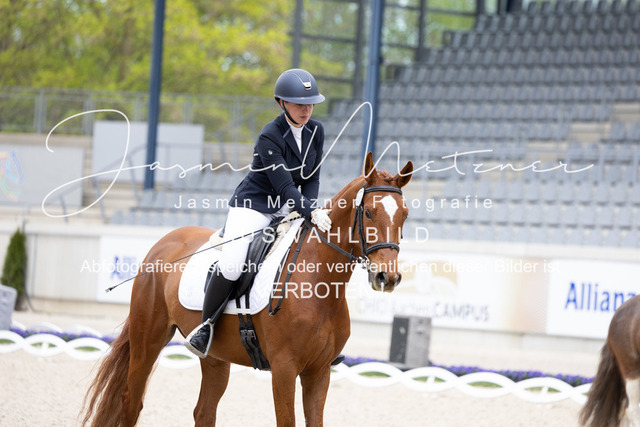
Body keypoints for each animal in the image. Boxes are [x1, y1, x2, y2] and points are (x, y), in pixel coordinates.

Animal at [81, 152, 413, 426]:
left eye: (405, 215)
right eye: (368, 213)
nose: (388, 277)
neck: (319, 283)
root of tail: (163, 243)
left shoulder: (319, 371)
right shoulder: (284, 368)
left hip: (215, 357)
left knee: (204, 412)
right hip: (147, 341)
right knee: (131, 402)